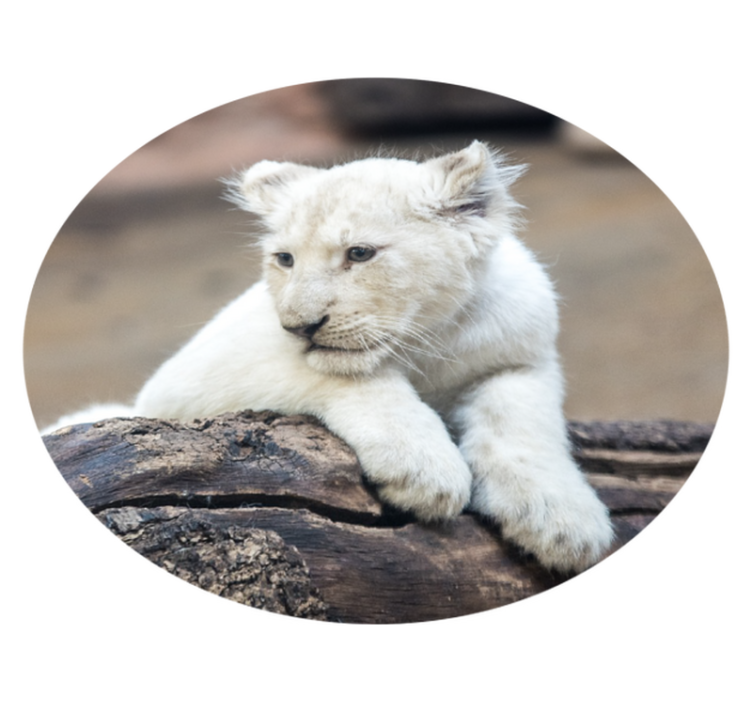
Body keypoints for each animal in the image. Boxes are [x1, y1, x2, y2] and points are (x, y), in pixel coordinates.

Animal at [48, 141, 613, 573]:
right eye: (285, 259)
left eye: (359, 254)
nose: (299, 326)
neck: (426, 341)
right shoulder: (203, 374)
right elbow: (352, 378)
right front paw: (424, 472)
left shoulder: (523, 356)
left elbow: (523, 422)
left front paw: (563, 524)